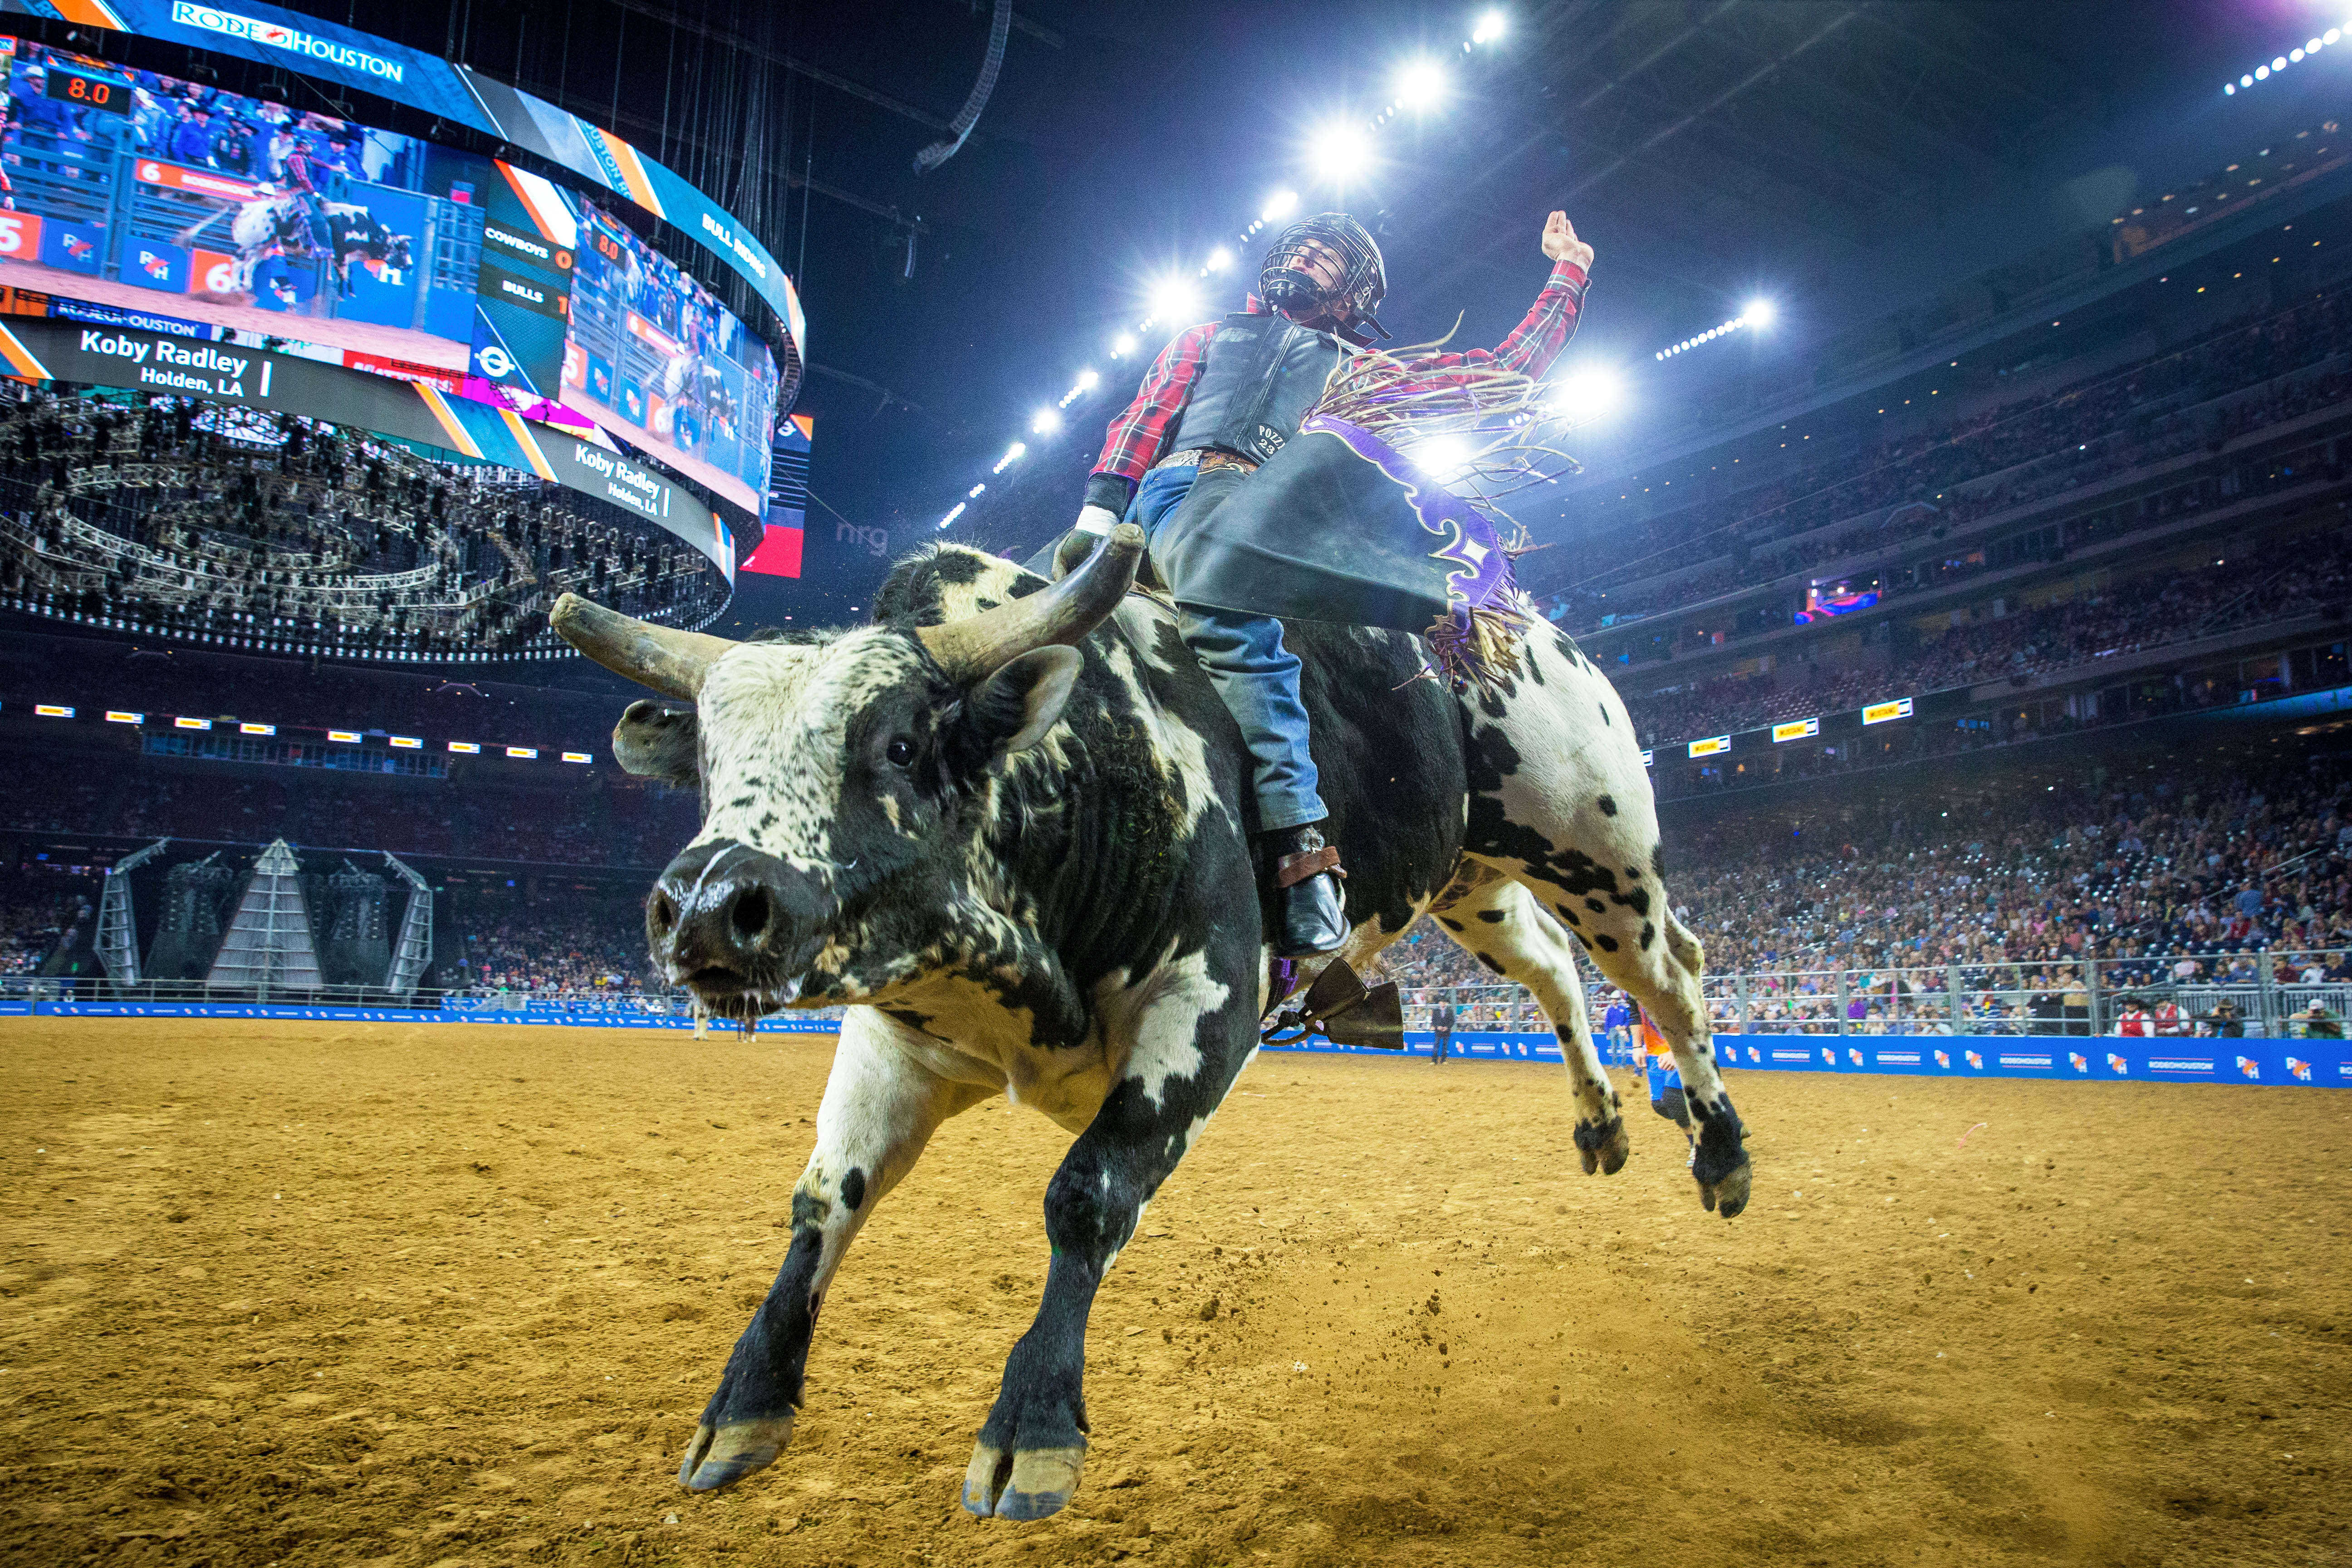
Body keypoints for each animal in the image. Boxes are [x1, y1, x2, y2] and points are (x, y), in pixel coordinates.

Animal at [550, 524, 1759, 1523]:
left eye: (896, 741)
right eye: (707, 759)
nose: (708, 906)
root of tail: (1501, 616)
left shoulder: (1202, 1009)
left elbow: (1086, 1193)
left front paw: (1032, 1429)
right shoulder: (893, 1038)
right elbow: (823, 1199)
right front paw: (744, 1404)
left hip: (1599, 849)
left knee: (1673, 977)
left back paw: (1719, 1148)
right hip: (1471, 879)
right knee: (1553, 971)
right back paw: (1600, 1121)